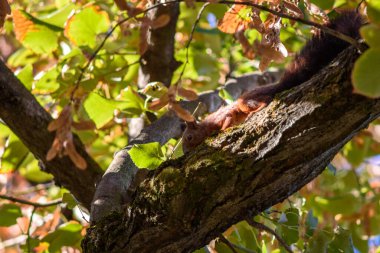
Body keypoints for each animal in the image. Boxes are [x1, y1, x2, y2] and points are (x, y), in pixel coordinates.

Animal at [183, 10, 364, 153]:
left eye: (189, 137)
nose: (185, 152)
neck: (206, 124)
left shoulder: (223, 116)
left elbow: (226, 121)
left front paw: (221, 131)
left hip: (246, 102)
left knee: (265, 101)